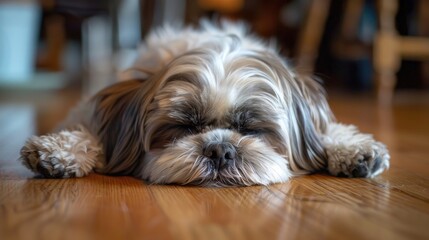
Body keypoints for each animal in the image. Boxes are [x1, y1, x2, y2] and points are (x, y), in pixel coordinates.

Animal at [18, 20, 390, 187]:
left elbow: (331, 130)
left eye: (250, 129)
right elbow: (87, 132)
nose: (220, 149)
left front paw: (353, 149)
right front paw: (58, 151)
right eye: (185, 127)